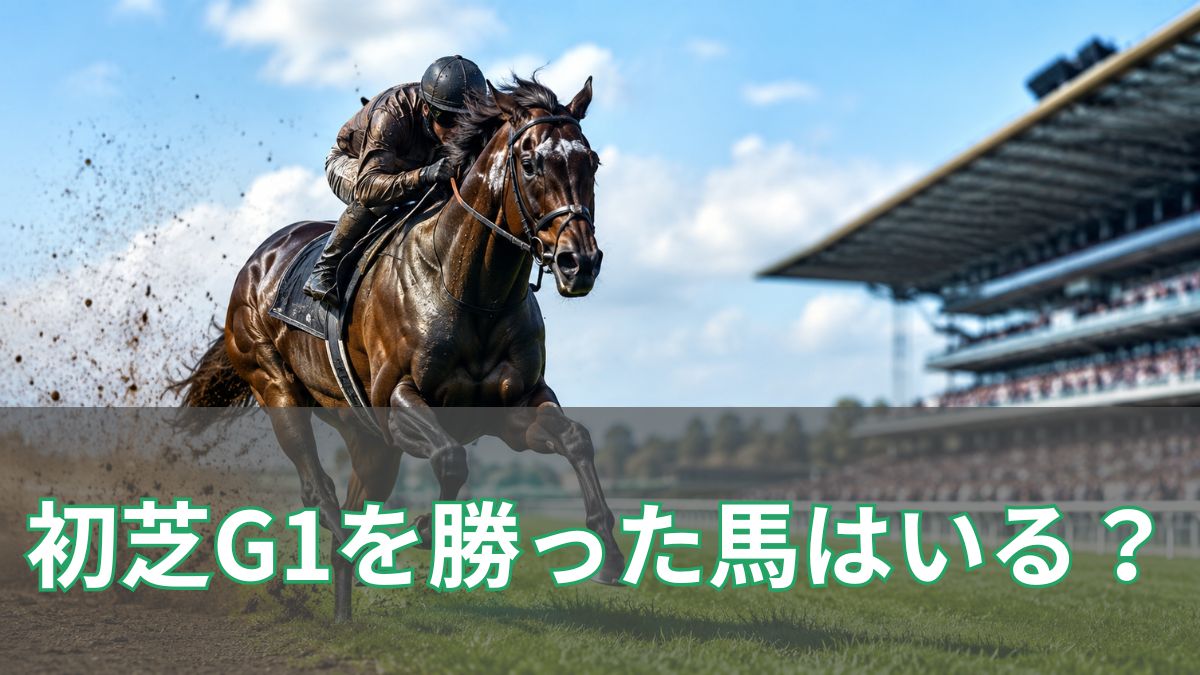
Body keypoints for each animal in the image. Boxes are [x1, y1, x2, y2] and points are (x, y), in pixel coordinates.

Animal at [171, 76, 625, 621]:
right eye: (531, 163)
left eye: (591, 162)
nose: (580, 262)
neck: (470, 288)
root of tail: (257, 261)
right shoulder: (397, 402)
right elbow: (451, 459)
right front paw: (427, 529)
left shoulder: (516, 404)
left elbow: (576, 438)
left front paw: (609, 555)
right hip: (276, 386)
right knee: (314, 482)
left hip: (366, 439)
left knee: (353, 505)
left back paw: (346, 604)